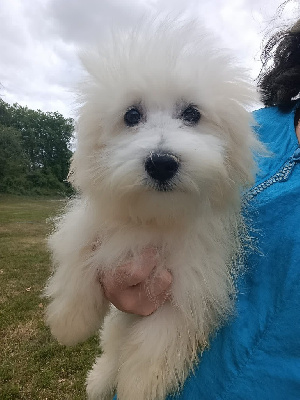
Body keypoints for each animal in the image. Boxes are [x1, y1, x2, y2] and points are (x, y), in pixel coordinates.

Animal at [44, 16, 260, 400]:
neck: (156, 216)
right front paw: (70, 322)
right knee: (111, 348)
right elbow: (77, 257)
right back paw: (98, 381)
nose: (161, 163)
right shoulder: (89, 226)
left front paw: (136, 386)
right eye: (132, 115)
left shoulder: (189, 288)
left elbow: (155, 345)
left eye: (192, 114)